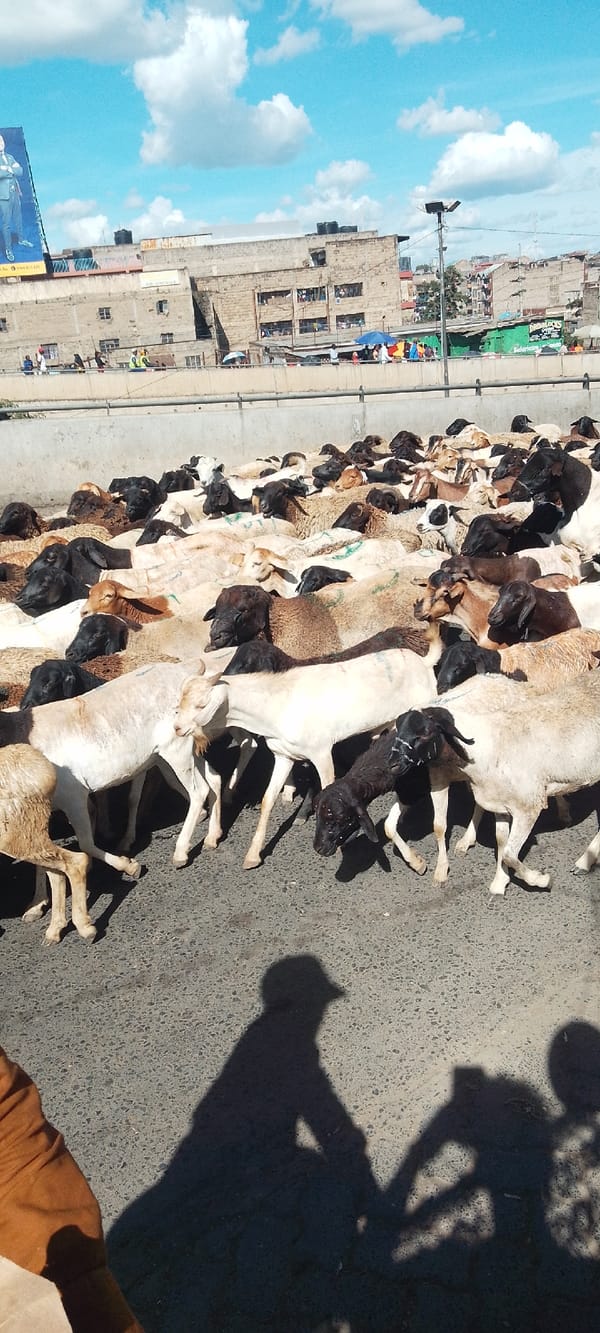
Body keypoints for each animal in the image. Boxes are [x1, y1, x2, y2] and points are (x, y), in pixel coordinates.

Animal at [174, 646, 438, 868]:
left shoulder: (321, 752)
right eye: (180, 701)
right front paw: (253, 855)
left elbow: (328, 786)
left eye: (201, 705)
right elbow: (267, 800)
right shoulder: (283, 755)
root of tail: (424, 661)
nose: (177, 728)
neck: (277, 705)